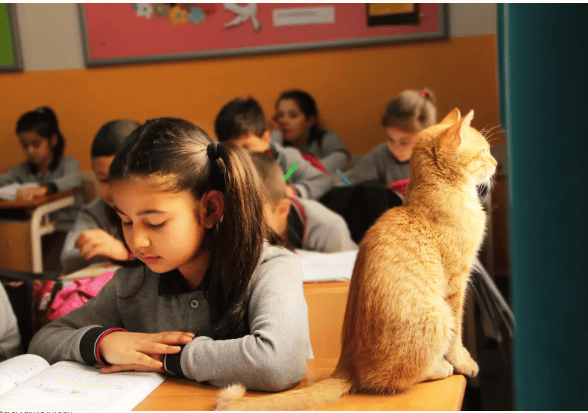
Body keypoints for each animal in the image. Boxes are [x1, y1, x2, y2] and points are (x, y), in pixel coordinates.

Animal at [215, 108, 496, 408]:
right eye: (484, 151)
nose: (495, 162)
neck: (431, 197)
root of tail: (347, 368)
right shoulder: (456, 285)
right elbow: (458, 335)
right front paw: (465, 363)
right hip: (438, 316)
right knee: (399, 377)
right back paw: (439, 368)